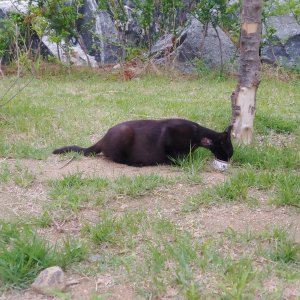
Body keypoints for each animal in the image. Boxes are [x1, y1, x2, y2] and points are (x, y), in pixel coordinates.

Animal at [52, 118, 233, 166]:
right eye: (229, 150)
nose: (230, 159)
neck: (198, 137)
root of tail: (102, 137)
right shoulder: (168, 133)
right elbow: (172, 155)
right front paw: (177, 161)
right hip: (124, 132)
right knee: (119, 160)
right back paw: (138, 163)